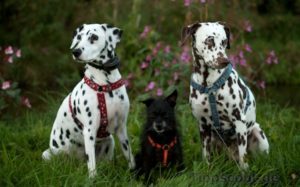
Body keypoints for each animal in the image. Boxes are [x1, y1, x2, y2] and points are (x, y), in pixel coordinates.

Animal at [42, 23, 135, 177]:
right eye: (79, 37)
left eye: (94, 37)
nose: (76, 51)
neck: (106, 85)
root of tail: (76, 164)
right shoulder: (89, 132)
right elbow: (91, 165)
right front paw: (93, 179)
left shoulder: (121, 128)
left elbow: (129, 156)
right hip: (48, 154)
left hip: (110, 141)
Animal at [180, 21, 270, 169]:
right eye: (209, 40)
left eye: (224, 41)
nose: (224, 61)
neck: (209, 84)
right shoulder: (203, 125)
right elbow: (205, 155)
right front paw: (207, 169)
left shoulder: (239, 122)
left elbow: (243, 156)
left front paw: (244, 171)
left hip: (258, 133)